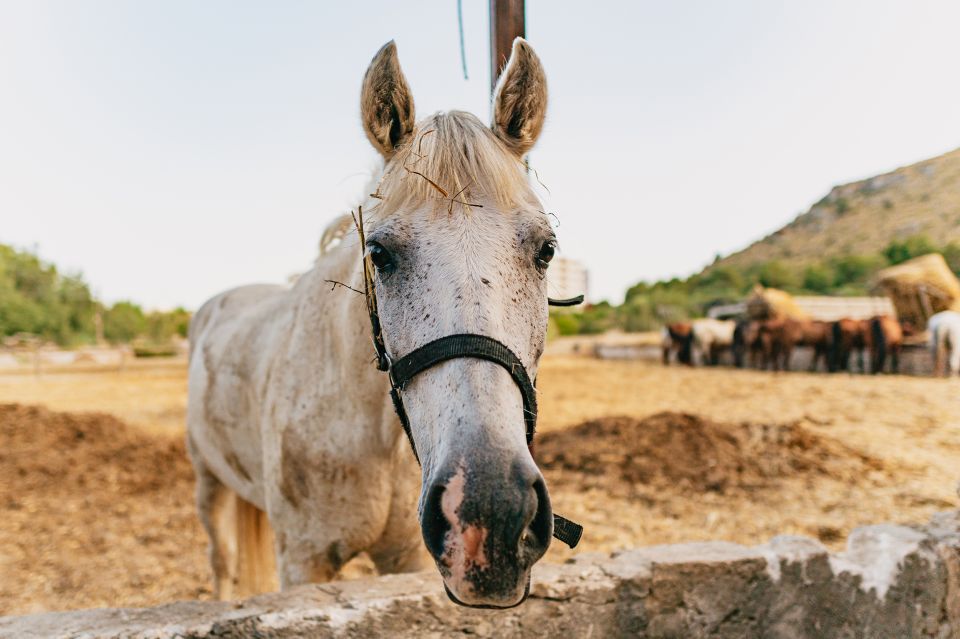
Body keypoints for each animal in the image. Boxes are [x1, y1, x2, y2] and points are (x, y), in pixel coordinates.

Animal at [186, 37, 556, 608]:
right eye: (378, 253)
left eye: (546, 250)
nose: (491, 513)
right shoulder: (304, 560)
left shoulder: (404, 560)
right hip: (209, 482)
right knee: (222, 560)